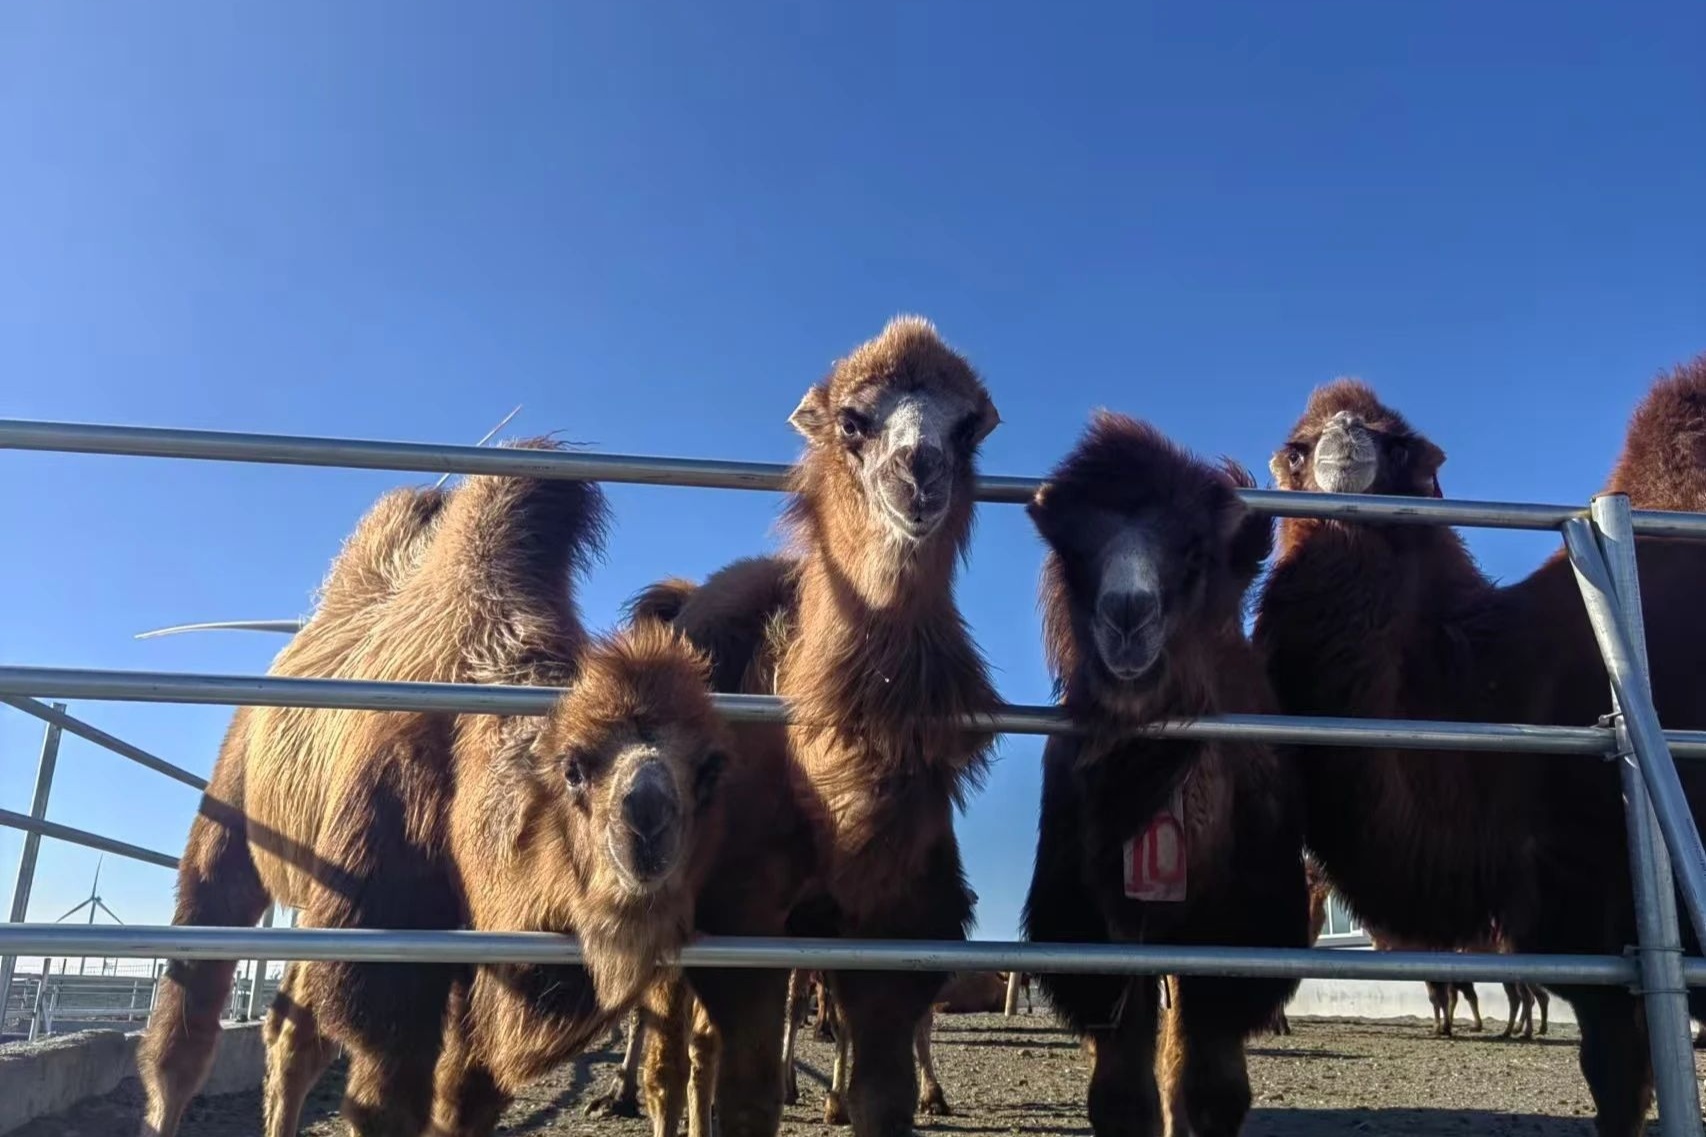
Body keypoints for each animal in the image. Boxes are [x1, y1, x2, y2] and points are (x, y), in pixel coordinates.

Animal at [136, 450, 736, 1133]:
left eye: (710, 769)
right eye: (574, 767)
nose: (646, 826)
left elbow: (463, 1100)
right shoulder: (382, 922)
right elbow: (384, 1101)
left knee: (291, 1031)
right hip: (233, 809)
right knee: (191, 1014)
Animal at [631, 314, 996, 1133]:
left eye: (967, 429)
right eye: (853, 421)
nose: (919, 476)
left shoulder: (898, 933)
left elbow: (884, 1096)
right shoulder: (744, 919)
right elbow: (750, 1098)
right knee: (672, 1053)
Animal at [1016, 411, 1310, 1133]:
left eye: (1194, 551)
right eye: (1072, 551)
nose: (1127, 613)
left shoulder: (1236, 934)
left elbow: (1213, 1090)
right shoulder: (1093, 932)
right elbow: (1120, 1094)